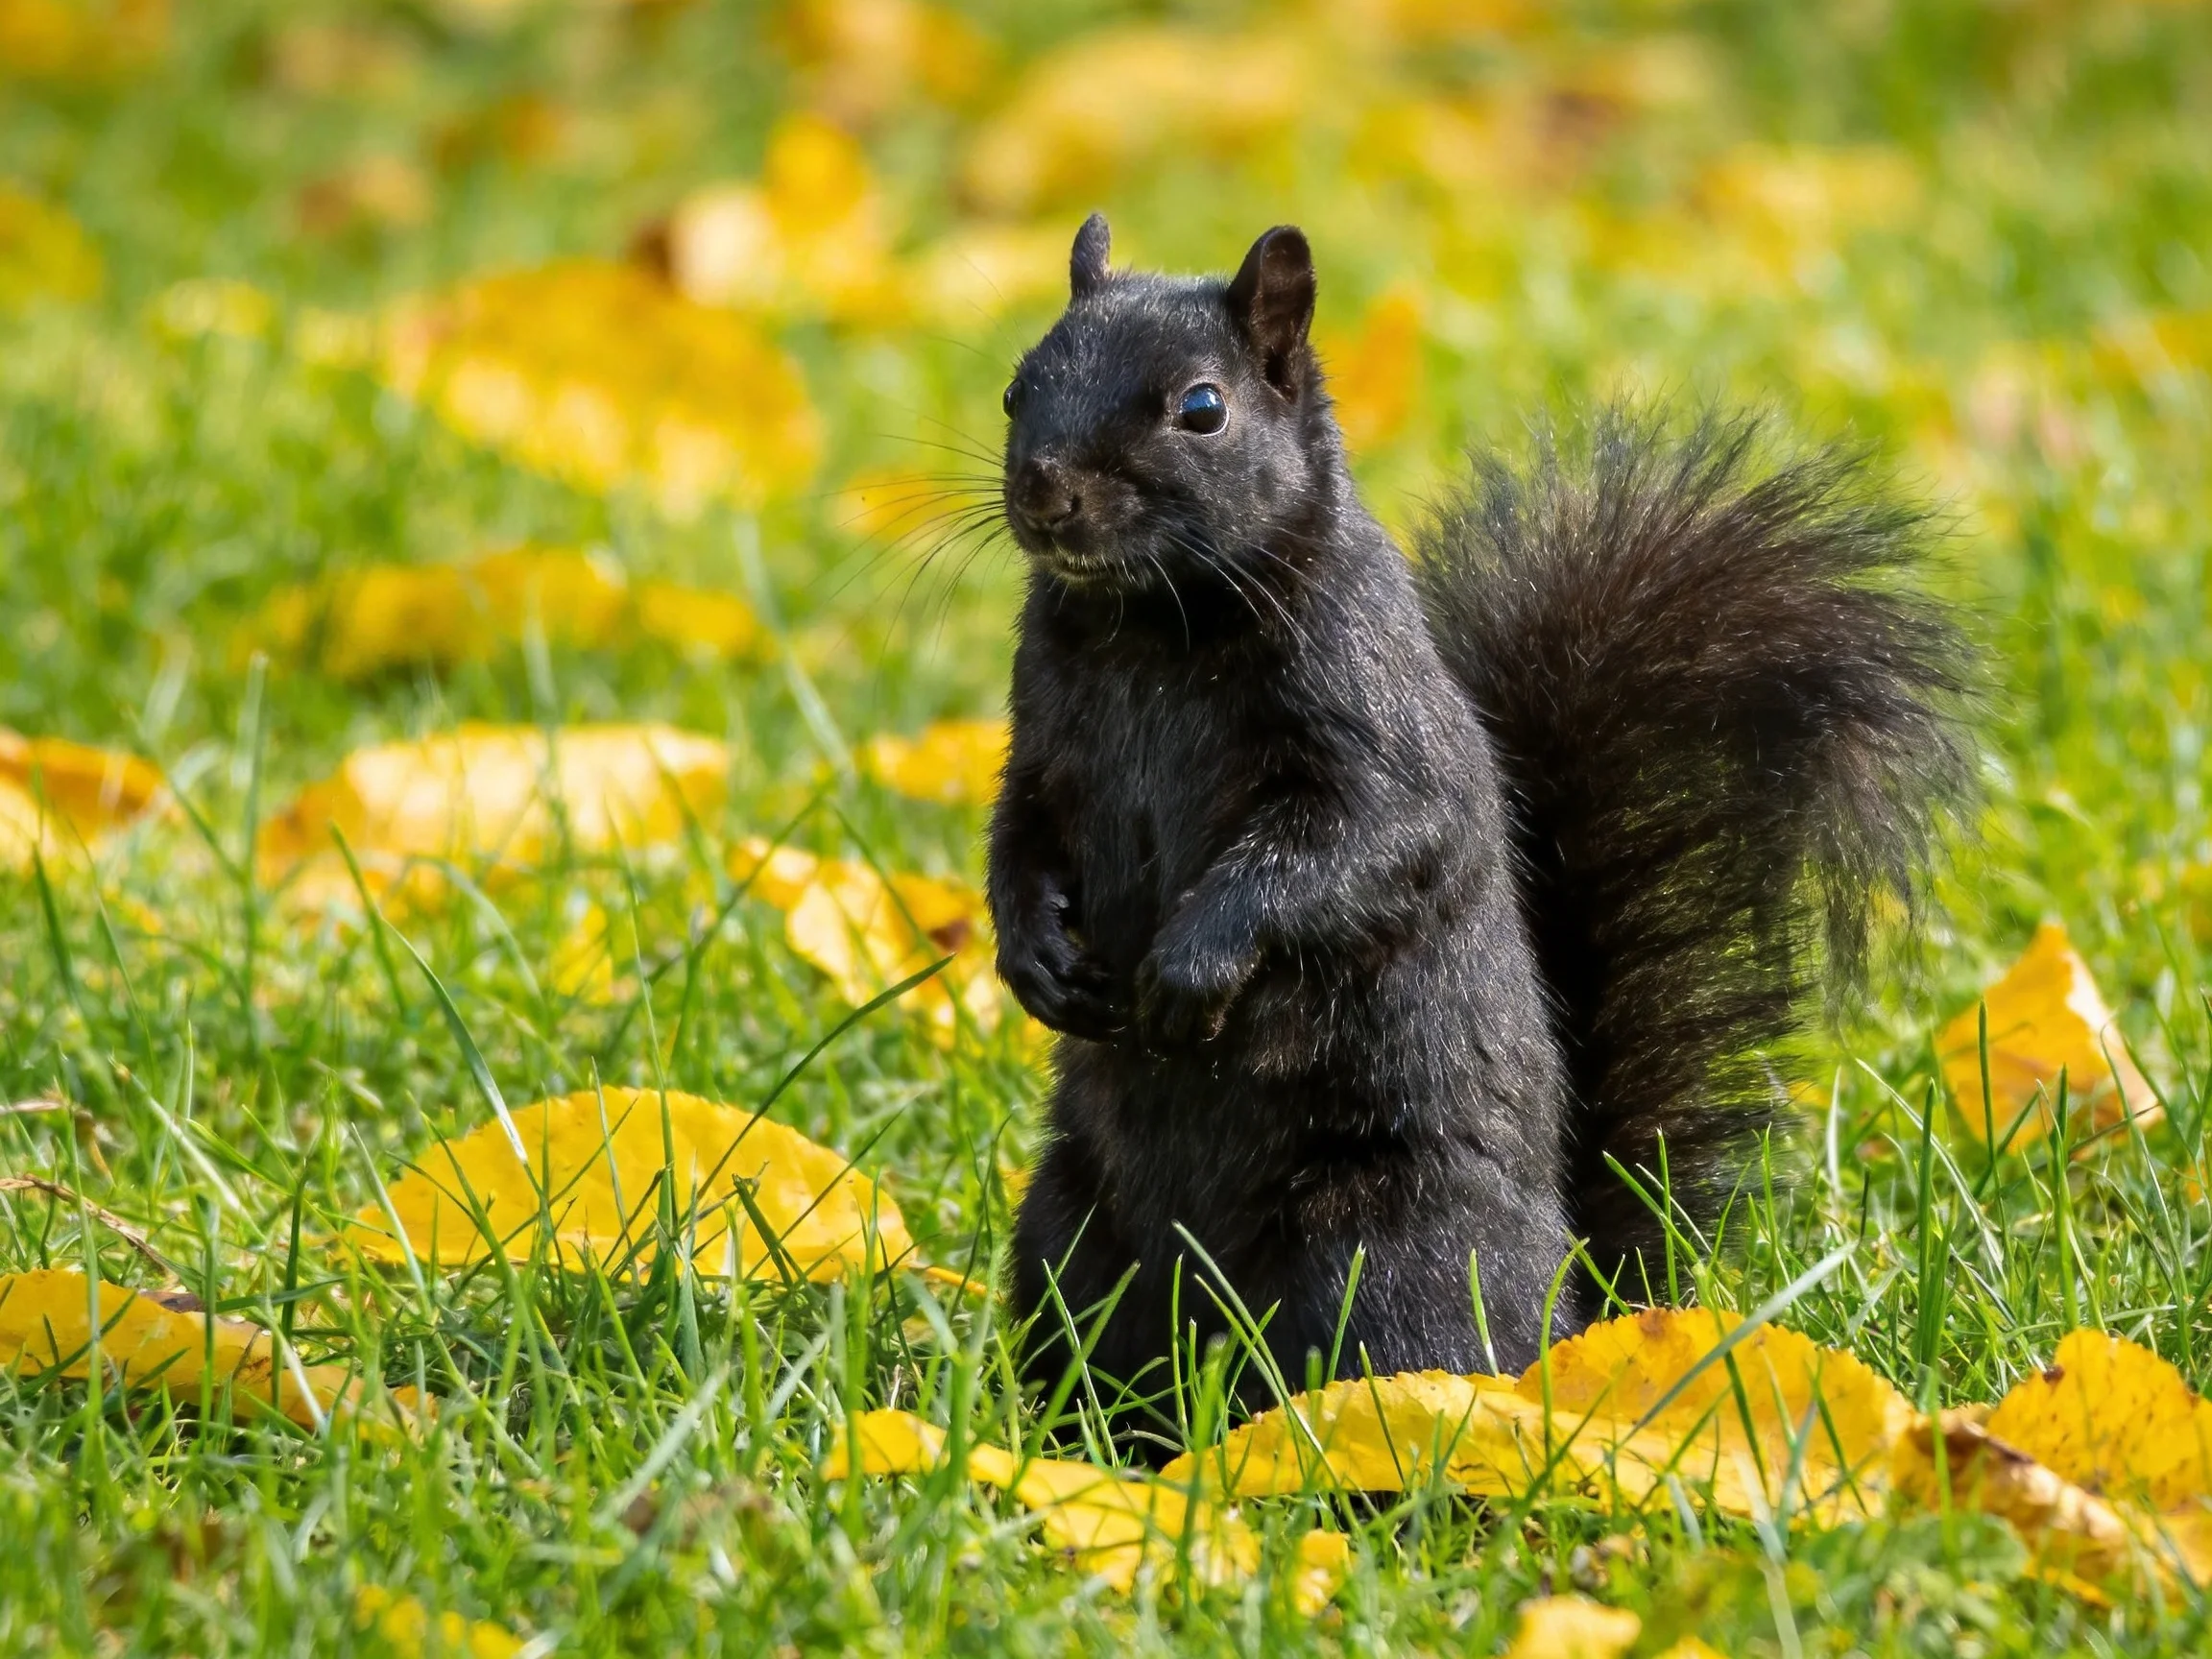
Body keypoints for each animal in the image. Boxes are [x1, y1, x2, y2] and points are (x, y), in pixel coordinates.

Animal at [985, 214, 1973, 1434]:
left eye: (1202, 409)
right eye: (1019, 386)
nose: (1044, 492)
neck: (1150, 626)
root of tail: (1573, 1308)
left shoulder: (1371, 726)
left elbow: (1351, 846)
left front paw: (1192, 964)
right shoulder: (1043, 747)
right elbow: (1018, 840)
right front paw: (1031, 954)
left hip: (1391, 1255)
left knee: (1400, 1357)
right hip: (1071, 1235)